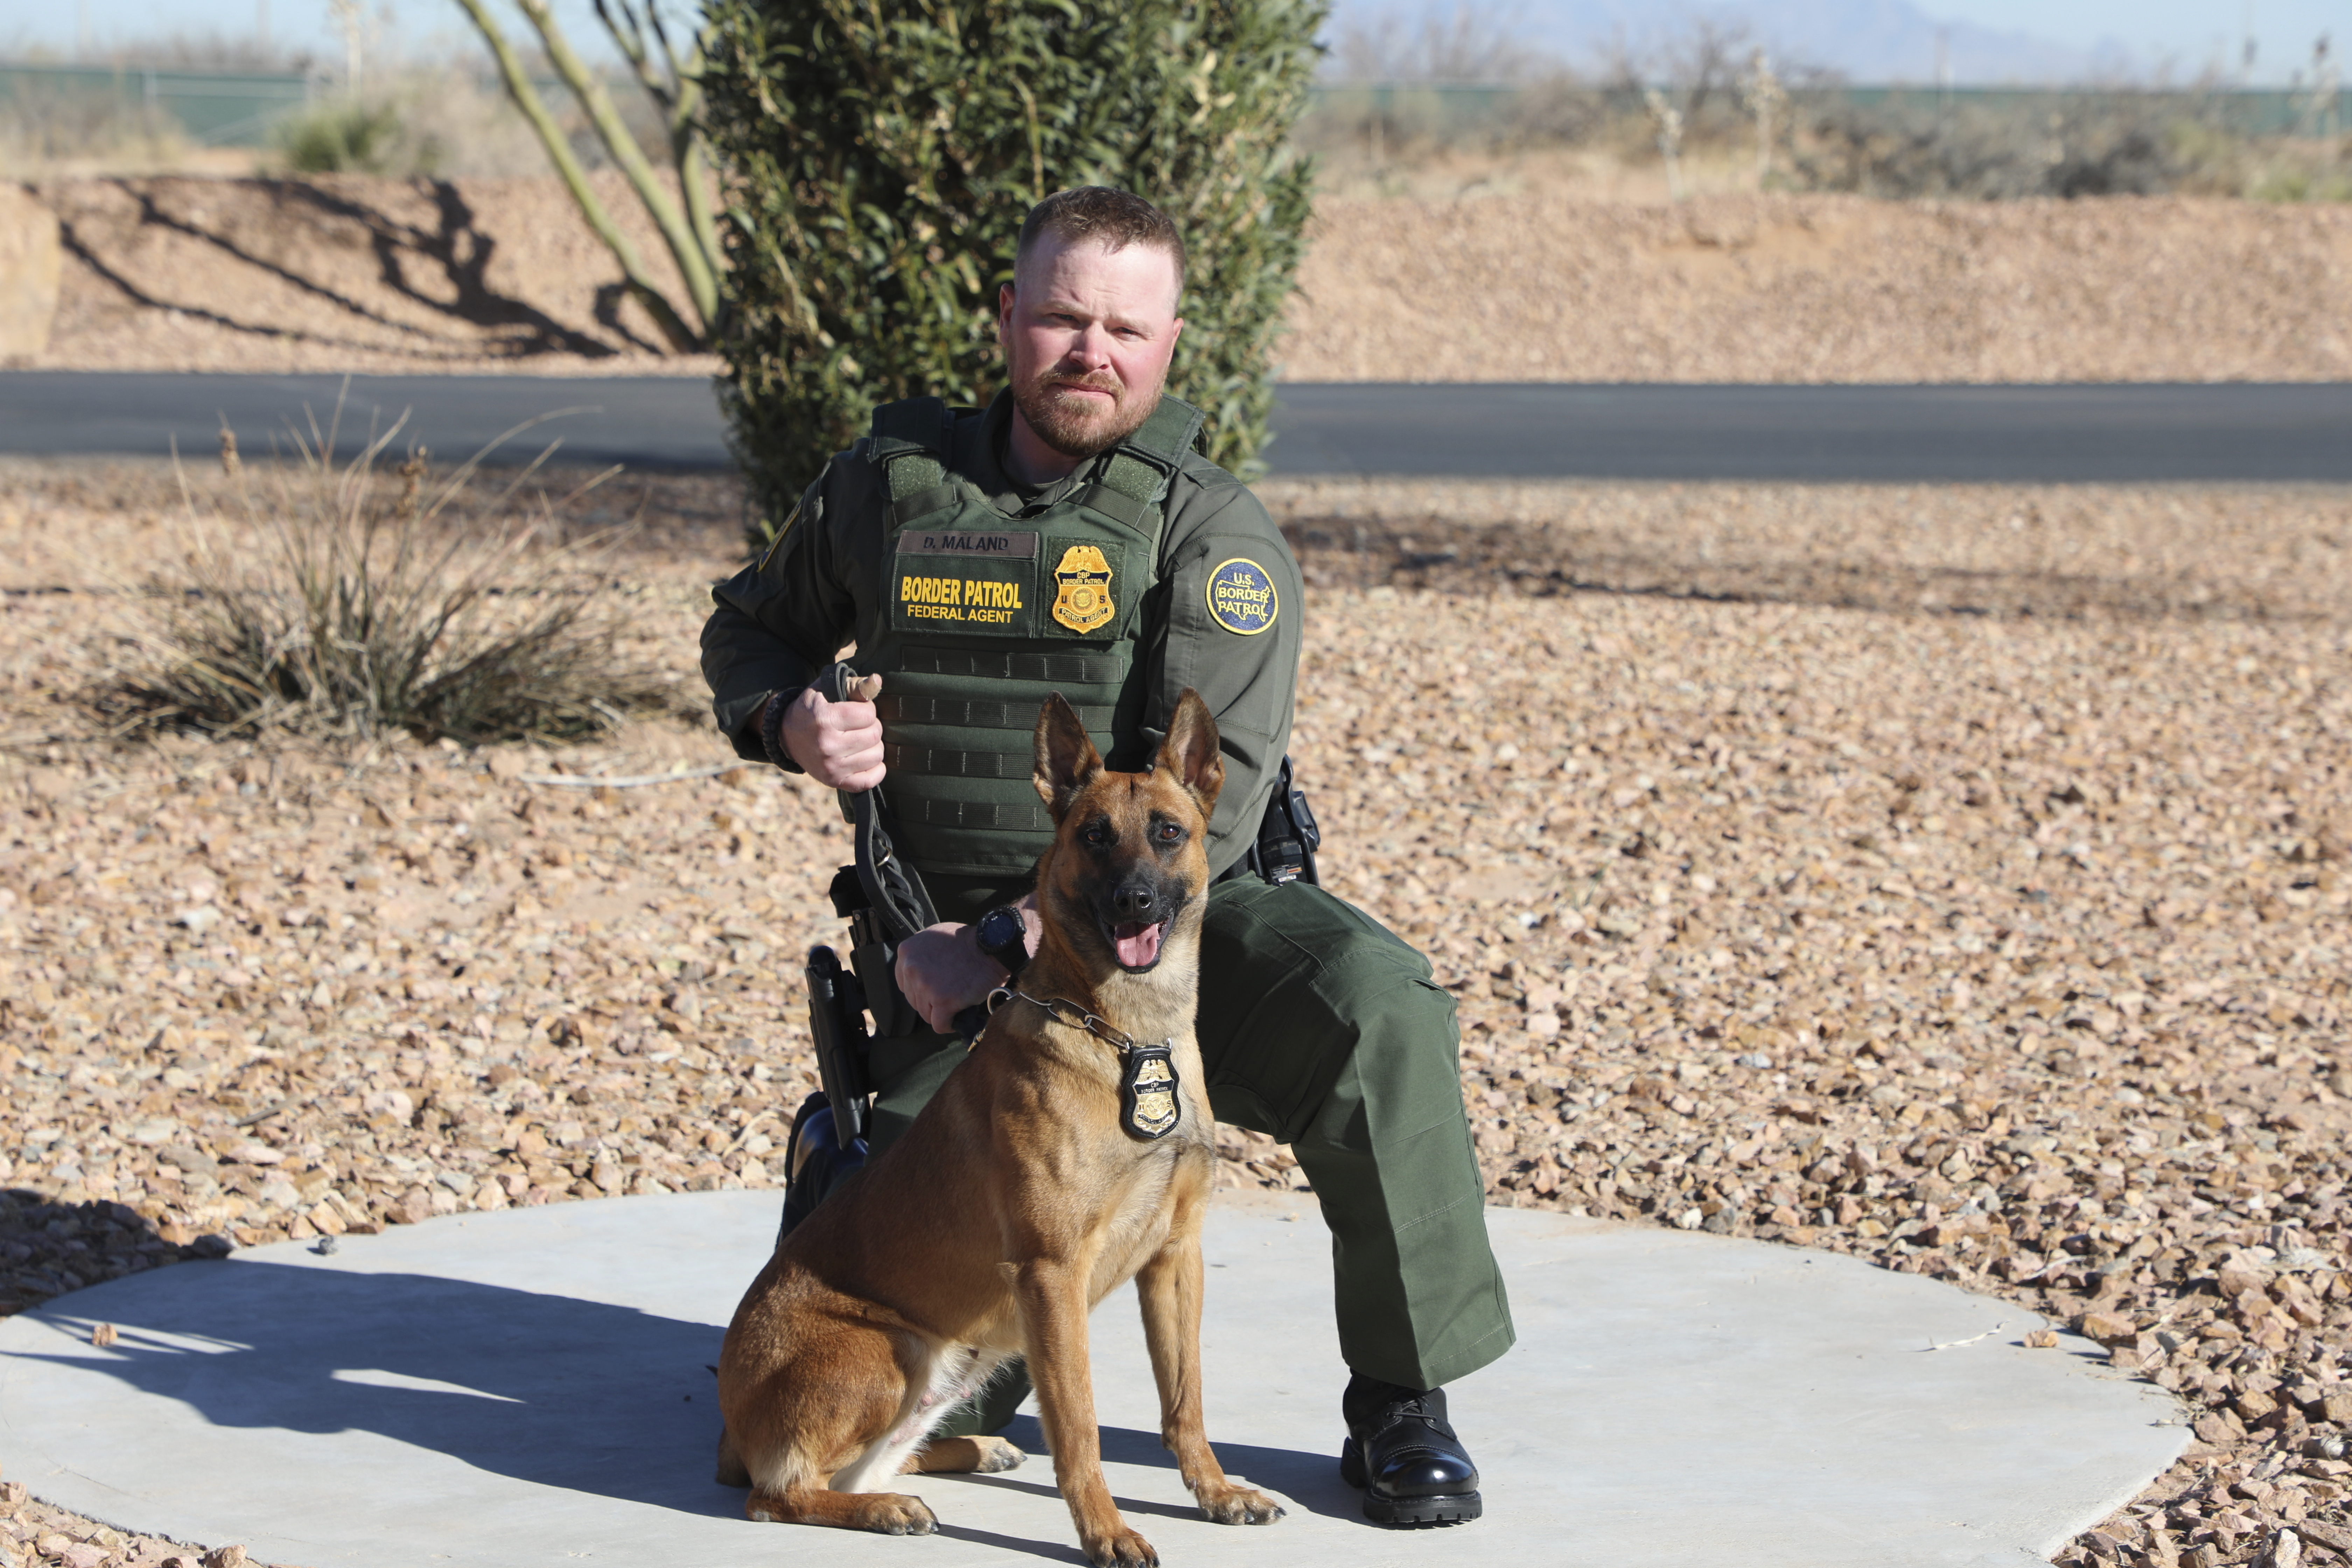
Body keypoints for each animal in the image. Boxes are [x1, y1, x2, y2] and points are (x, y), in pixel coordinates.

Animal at [715, 691, 1289, 1568]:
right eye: (1094, 836)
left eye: (1167, 831)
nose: (1135, 901)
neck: (1127, 1036)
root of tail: (729, 1417)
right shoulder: (1052, 1274)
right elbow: (1079, 1427)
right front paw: (1107, 1531)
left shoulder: (1175, 1256)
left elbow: (1185, 1401)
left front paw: (1216, 1491)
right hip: (894, 1349)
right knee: (778, 1493)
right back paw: (885, 1507)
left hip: (956, 1357)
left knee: (871, 1462)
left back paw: (956, 1457)